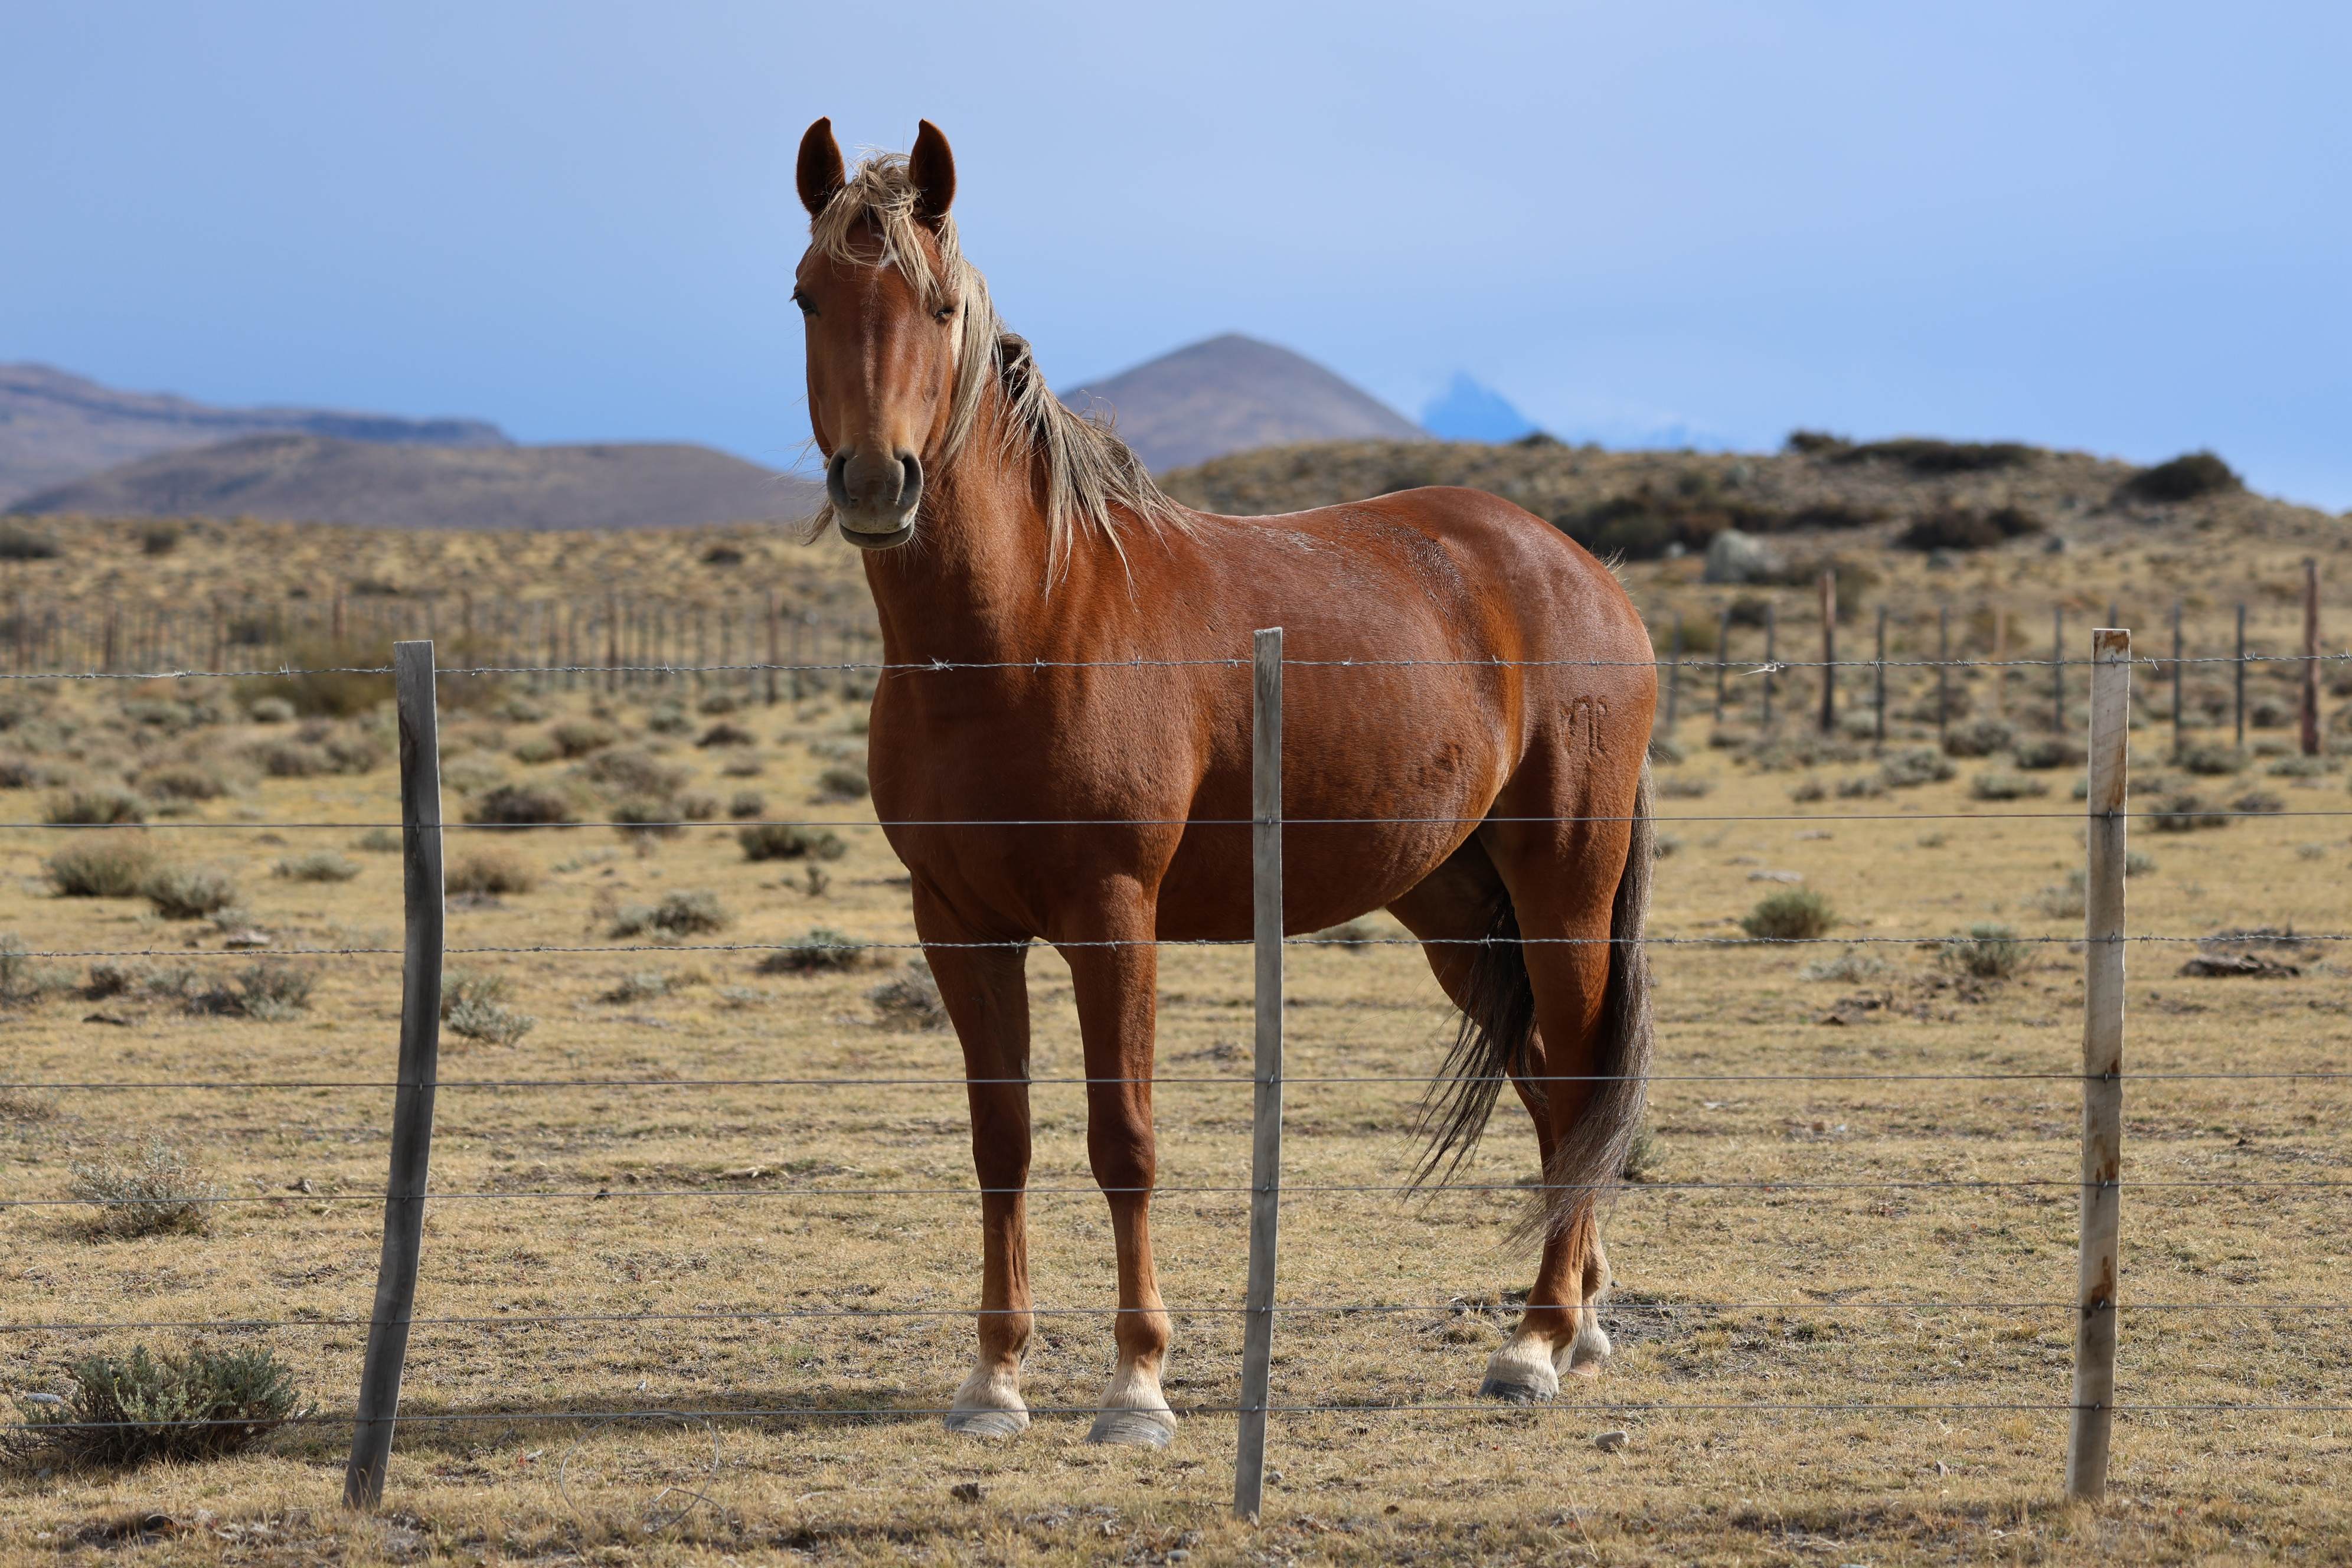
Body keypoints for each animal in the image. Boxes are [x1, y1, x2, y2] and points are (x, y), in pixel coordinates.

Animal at [790, 120, 1655, 1448]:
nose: (874, 483)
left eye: (937, 306)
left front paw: (1136, 1383)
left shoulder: (1113, 915)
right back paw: (1582, 1320)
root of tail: (1583, 571)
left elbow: (1123, 1139)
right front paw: (993, 1378)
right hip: (1457, 910)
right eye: (806, 295)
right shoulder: (960, 926)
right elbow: (1002, 1140)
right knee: (1559, 1097)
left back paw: (1537, 1341)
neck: (1022, 628)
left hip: (1562, 889)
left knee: (1581, 1075)